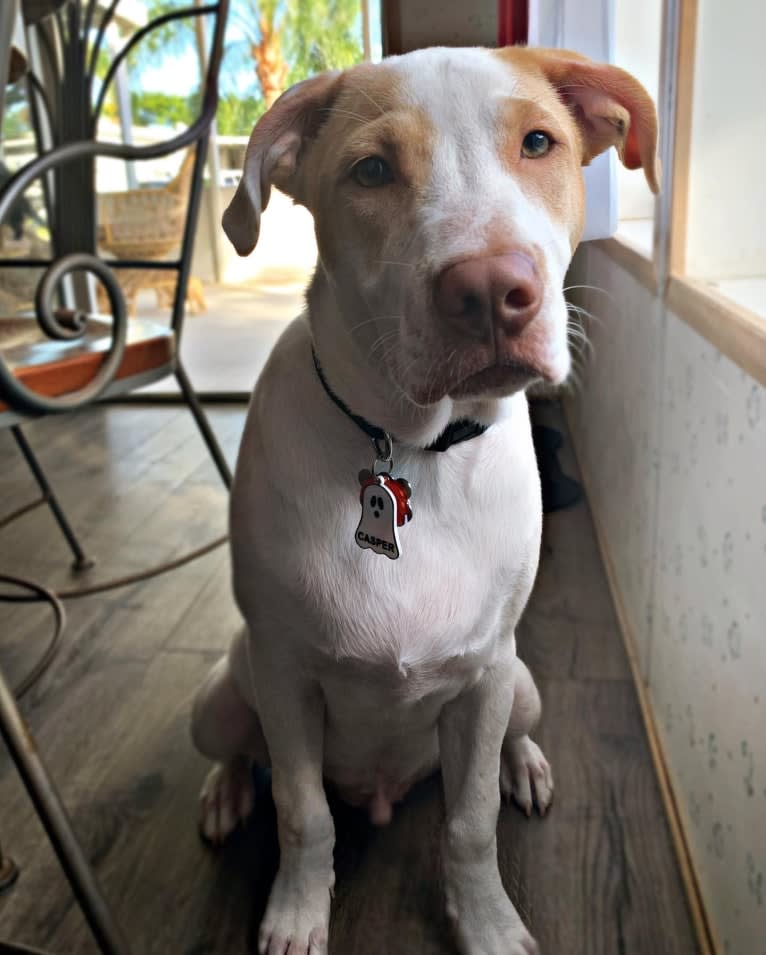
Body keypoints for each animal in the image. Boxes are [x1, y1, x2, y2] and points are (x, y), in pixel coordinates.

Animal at [192, 46, 660, 955]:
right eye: (371, 170)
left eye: (539, 142)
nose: (490, 292)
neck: (409, 446)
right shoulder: (285, 677)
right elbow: (303, 815)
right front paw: (297, 913)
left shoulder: (483, 678)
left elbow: (470, 823)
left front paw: (486, 921)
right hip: (223, 692)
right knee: (238, 750)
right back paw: (228, 791)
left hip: (522, 683)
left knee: (512, 735)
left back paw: (525, 764)